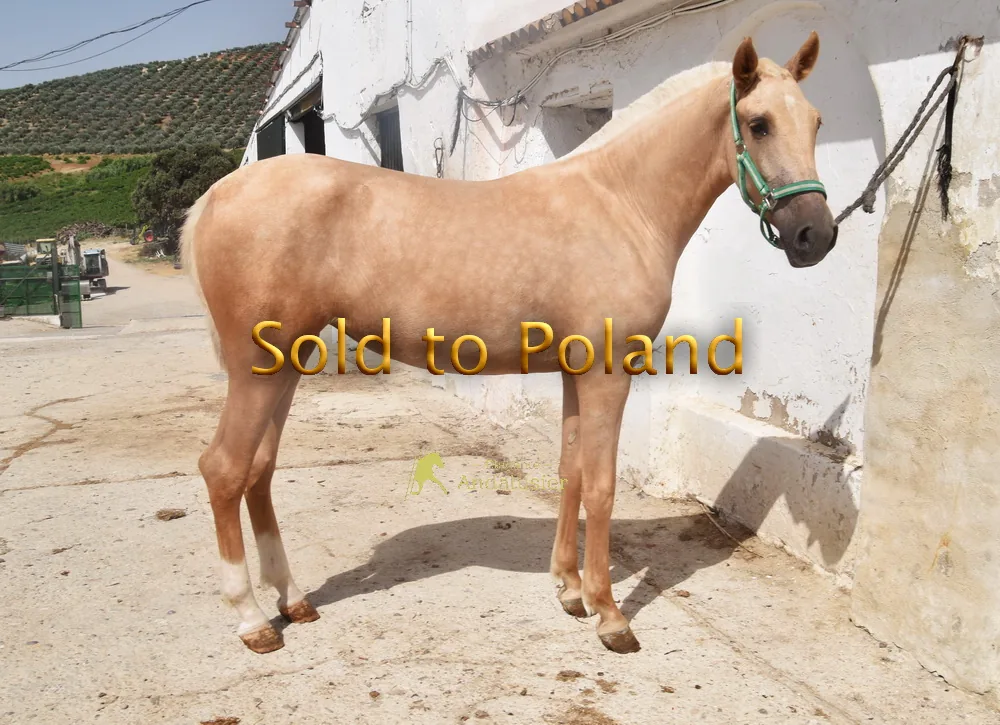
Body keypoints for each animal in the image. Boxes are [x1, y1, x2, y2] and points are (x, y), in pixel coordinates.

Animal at [180, 32, 836, 655]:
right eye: (759, 123)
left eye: (816, 121)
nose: (816, 236)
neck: (620, 202)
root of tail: (216, 196)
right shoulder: (607, 373)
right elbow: (602, 486)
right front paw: (610, 615)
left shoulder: (575, 370)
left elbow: (572, 472)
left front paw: (569, 590)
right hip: (257, 369)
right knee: (224, 469)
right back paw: (252, 621)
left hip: (289, 361)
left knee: (259, 470)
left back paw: (291, 601)